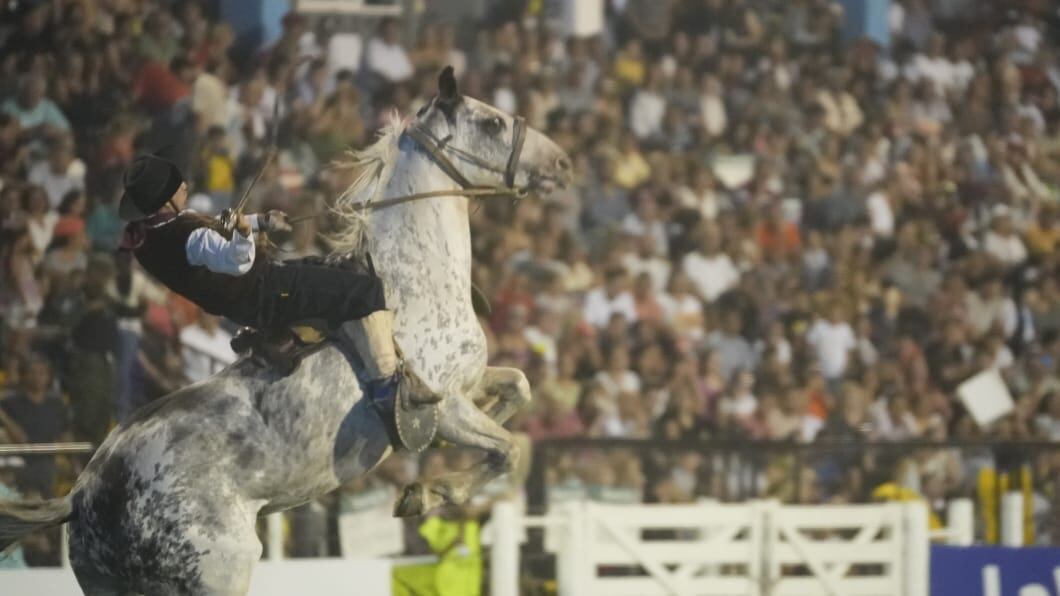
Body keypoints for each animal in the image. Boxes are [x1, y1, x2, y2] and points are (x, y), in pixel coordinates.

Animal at [0, 68, 572, 593]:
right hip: (220, 572)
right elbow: (508, 450)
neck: (413, 280)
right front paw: (427, 493)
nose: (563, 163)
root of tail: (81, 496)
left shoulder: (470, 384)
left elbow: (518, 388)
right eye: (491, 122)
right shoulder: (446, 404)